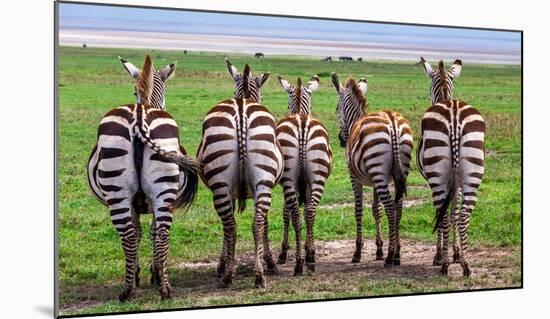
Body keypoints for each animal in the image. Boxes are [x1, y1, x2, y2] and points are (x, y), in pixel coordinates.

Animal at [89, 53, 202, 302]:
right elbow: (147, 232)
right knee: (158, 233)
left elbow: (142, 232)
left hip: (122, 193)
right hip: (159, 191)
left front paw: (144, 273)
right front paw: (149, 272)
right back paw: (161, 289)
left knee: (133, 235)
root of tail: (139, 118)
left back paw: (133, 288)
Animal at [197, 58, 284, 288]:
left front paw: (222, 264)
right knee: (257, 223)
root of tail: (242, 108)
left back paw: (229, 274)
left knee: (231, 226)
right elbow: (265, 224)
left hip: (222, 185)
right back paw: (259, 274)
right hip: (262, 181)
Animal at [274, 75, 332, 276]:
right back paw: (309, 260)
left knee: (298, 215)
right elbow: (301, 210)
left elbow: (286, 213)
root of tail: (301, 124)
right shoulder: (305, 184)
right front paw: (309, 251)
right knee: (310, 212)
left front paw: (283, 253)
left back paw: (300, 263)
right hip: (318, 177)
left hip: (290, 179)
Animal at [332, 72, 414, 268]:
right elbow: (376, 210)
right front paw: (379, 249)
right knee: (398, 206)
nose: (341, 139)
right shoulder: (376, 181)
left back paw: (390, 257)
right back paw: (397, 254)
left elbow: (358, 209)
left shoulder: (355, 178)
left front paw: (357, 252)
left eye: (337, 108)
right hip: (395, 172)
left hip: (378, 171)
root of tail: (392, 121)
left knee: (391, 207)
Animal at [418, 58, 488, 278]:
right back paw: (465, 264)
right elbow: (454, 212)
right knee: (464, 214)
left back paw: (444, 265)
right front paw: (457, 253)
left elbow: (444, 214)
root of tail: (455, 112)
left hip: (437, 175)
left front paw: (441, 254)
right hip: (473, 172)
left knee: (443, 214)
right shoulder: (456, 182)